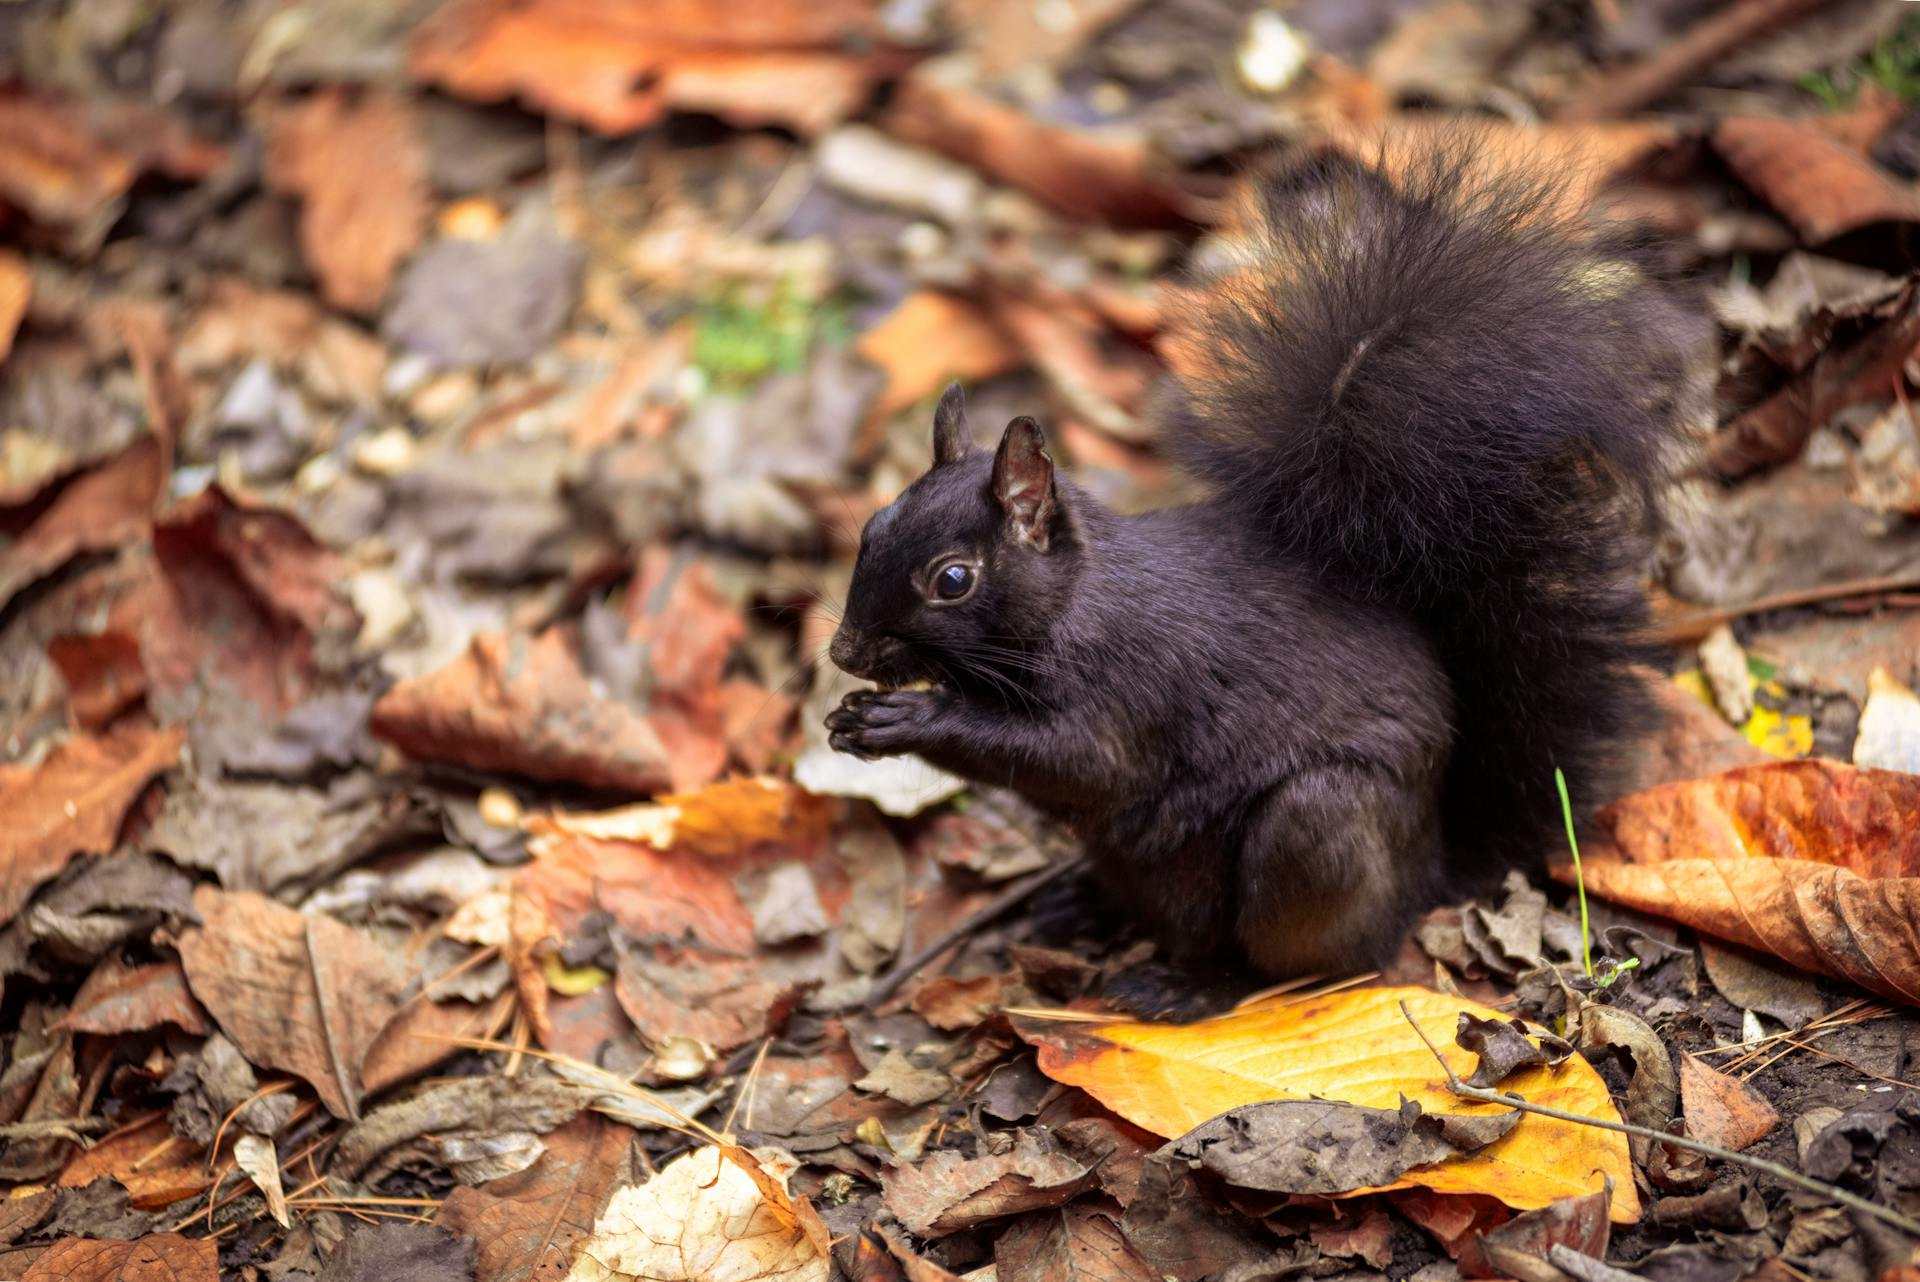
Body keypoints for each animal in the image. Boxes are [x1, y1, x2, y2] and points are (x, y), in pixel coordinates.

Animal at [821, 142, 1697, 982]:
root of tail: (1429, 870)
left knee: (1318, 961)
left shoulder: (1129, 690)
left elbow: (1076, 760)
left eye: (953, 580)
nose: (844, 654)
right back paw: (1080, 910)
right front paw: (853, 715)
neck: (1076, 602)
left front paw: (904, 718)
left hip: (1316, 826)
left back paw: (1201, 990)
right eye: (872, 524)